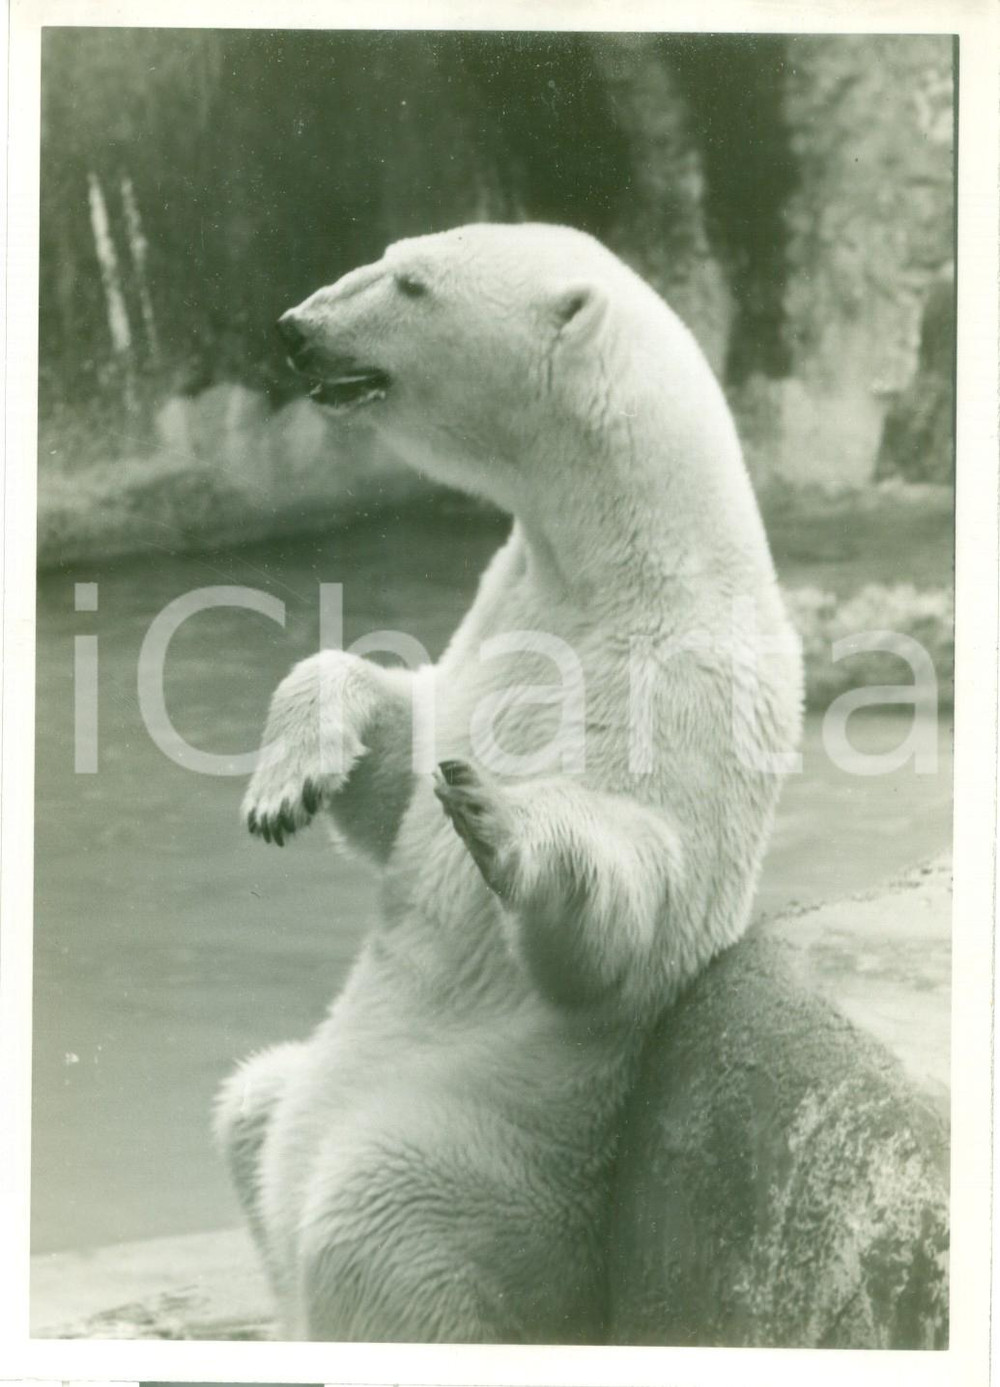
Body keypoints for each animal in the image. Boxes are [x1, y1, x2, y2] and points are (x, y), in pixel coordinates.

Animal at [214, 223, 803, 1344]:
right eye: (391, 255)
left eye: (410, 283)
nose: (296, 327)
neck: (623, 565)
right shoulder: (501, 612)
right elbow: (398, 761)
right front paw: (287, 780)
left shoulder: (688, 692)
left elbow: (635, 903)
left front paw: (498, 814)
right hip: (314, 1090)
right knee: (246, 1101)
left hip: (488, 1159)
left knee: (374, 1229)